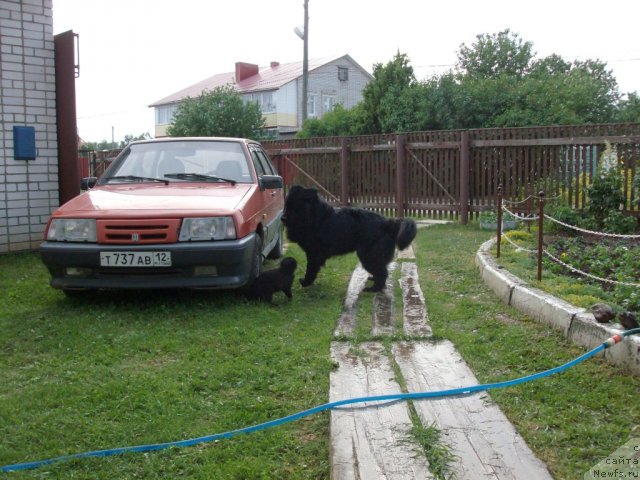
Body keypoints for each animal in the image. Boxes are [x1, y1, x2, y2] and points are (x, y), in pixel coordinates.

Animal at [282, 186, 418, 292]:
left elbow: (310, 269)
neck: (313, 217)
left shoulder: (314, 253)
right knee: (381, 269)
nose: (282, 218)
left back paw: (373, 289)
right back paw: (373, 279)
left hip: (368, 255)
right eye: (286, 205)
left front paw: (305, 282)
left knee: (382, 272)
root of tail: (387, 223)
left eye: (293, 206)